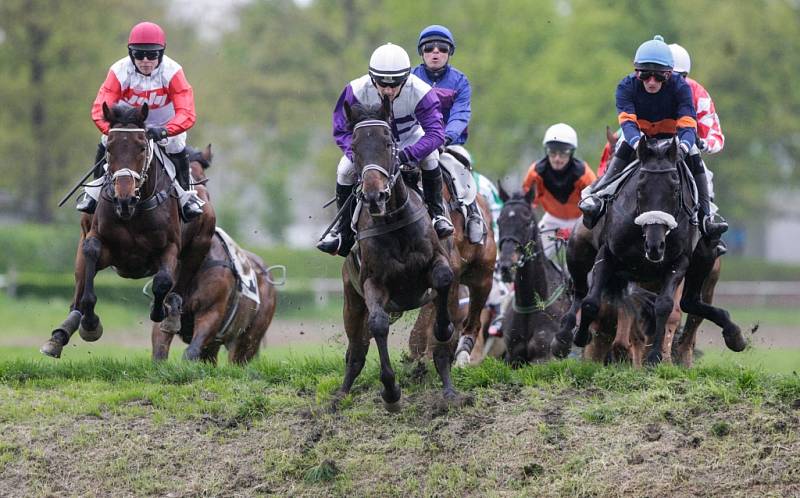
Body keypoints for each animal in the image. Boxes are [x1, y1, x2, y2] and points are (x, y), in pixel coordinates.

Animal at [39, 102, 216, 358]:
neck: (134, 210)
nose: (124, 197)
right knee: (78, 291)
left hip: (199, 246)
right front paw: (90, 324)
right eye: (110, 149)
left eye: (142, 147)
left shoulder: (170, 248)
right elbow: (91, 255)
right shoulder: (100, 242)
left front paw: (160, 311)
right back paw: (60, 335)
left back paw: (171, 312)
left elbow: (162, 281)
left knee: (179, 283)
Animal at [334, 98, 466, 412]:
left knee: (442, 352)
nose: (374, 195)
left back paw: (449, 392)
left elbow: (443, 279)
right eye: (354, 145)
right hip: (352, 302)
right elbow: (378, 325)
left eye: (388, 143)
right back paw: (341, 394)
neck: (394, 222)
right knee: (356, 351)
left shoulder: (441, 265)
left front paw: (442, 328)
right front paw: (391, 392)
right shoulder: (373, 283)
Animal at [496, 189, 572, 364]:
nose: (506, 265)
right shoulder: (512, 357)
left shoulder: (543, 356)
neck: (531, 302)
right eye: (499, 221)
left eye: (527, 222)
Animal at [552, 138, 748, 364]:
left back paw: (733, 334)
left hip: (703, 263)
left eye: (675, 190)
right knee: (580, 291)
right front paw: (580, 336)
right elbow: (591, 302)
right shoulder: (607, 255)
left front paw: (655, 357)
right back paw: (563, 337)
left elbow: (664, 306)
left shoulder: (679, 262)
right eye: (640, 188)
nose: (655, 246)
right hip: (578, 248)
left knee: (690, 302)